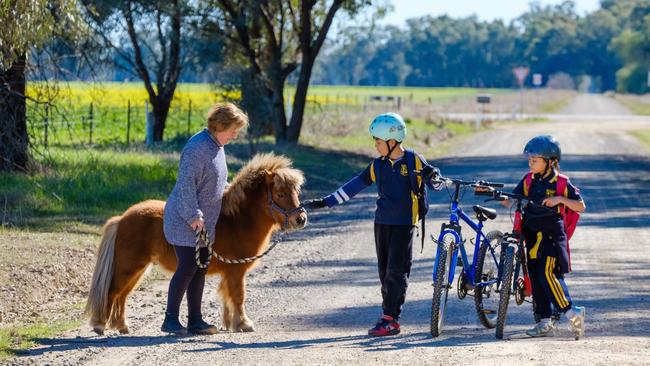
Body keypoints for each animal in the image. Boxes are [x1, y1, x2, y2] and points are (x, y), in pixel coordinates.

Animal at [85, 153, 306, 336]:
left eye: (296, 192)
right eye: (280, 194)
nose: (301, 219)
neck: (237, 221)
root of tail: (122, 218)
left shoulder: (229, 273)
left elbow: (227, 297)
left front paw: (229, 324)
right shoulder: (236, 272)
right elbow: (238, 296)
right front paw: (244, 324)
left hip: (137, 270)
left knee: (122, 295)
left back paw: (122, 326)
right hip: (129, 267)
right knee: (113, 292)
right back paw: (100, 325)